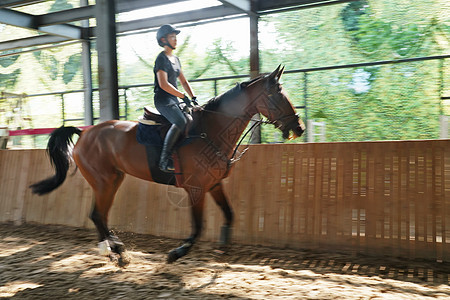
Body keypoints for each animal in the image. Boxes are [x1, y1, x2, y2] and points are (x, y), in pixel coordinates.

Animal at [29, 65, 306, 264]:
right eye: (276, 95)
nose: (298, 128)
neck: (211, 131)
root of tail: (85, 133)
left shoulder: (215, 185)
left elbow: (229, 214)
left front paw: (223, 247)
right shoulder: (196, 189)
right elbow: (198, 226)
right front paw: (177, 253)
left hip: (113, 179)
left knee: (99, 214)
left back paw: (114, 250)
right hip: (103, 181)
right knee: (97, 214)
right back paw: (116, 251)